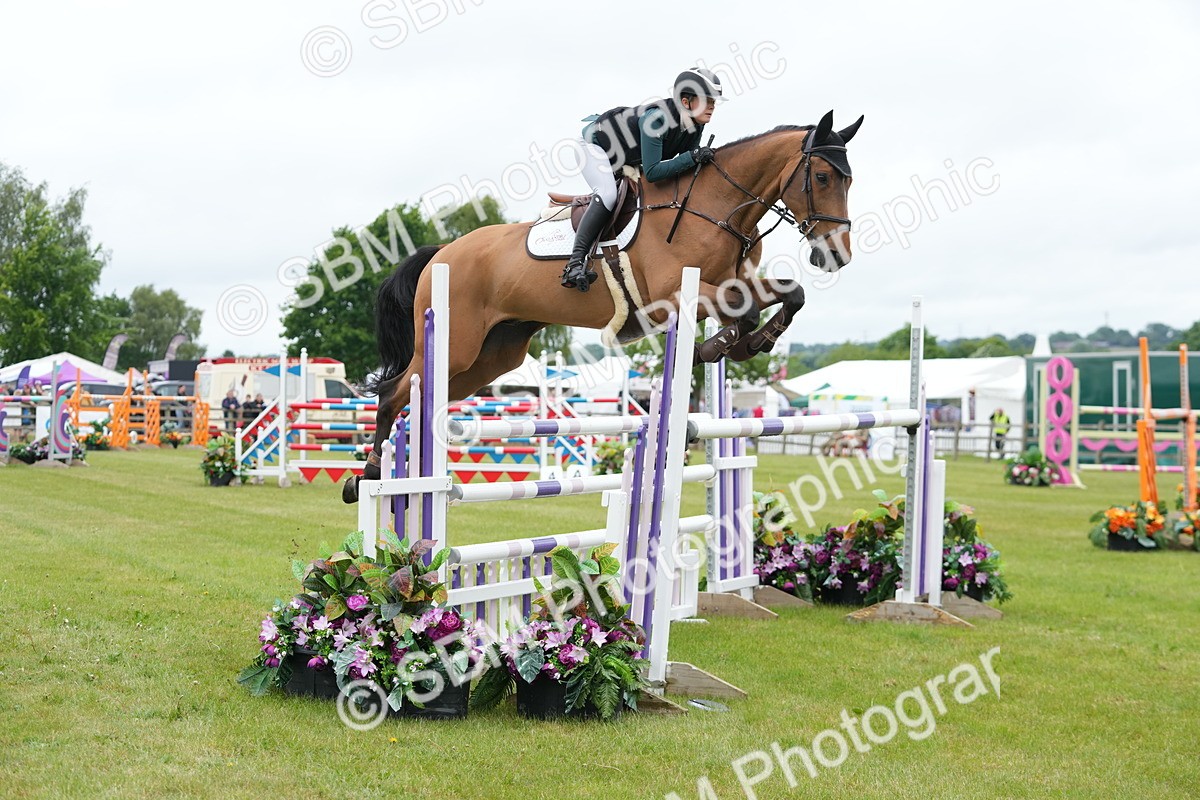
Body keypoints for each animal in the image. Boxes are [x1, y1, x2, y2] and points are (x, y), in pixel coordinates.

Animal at [343, 110, 863, 503]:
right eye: (821, 176)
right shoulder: (676, 296)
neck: (717, 207)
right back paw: (366, 477)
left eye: (849, 181)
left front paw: (752, 342)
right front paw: (721, 346)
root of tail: (442, 253)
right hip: (457, 346)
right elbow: (744, 310)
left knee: (422, 400)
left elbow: (789, 294)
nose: (836, 254)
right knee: (392, 393)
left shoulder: (734, 282)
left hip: (490, 358)